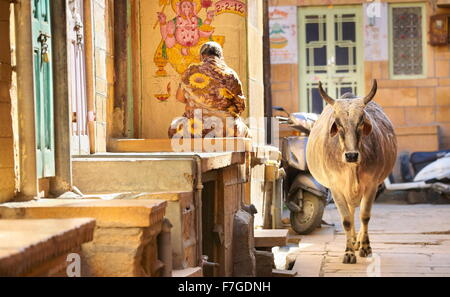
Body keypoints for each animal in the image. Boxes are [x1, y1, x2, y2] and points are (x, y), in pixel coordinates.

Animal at [306, 80, 398, 262]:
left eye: (361, 120)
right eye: (338, 122)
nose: (351, 155)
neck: (352, 169)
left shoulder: (372, 185)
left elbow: (365, 216)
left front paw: (365, 247)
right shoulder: (335, 188)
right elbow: (346, 220)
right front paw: (348, 252)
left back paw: (359, 242)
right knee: (350, 211)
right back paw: (354, 241)